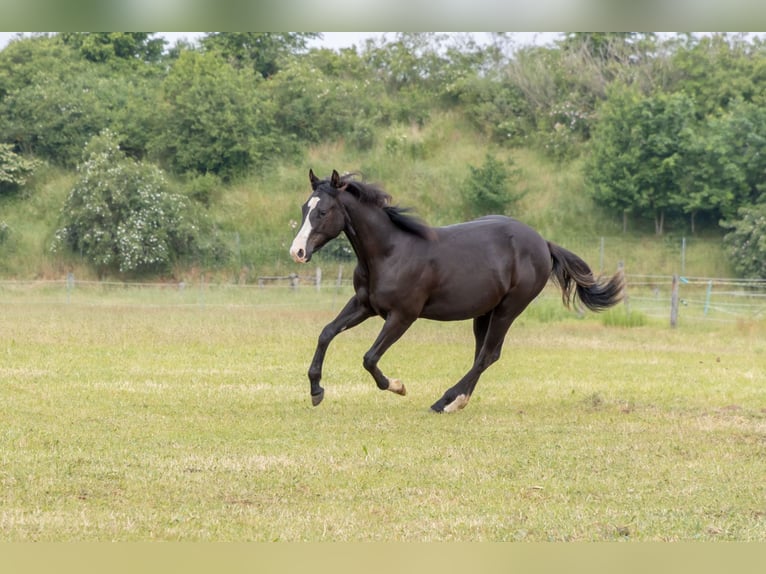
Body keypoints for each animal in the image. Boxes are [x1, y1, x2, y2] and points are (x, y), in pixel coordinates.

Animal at [288, 171, 624, 414]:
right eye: (305, 208)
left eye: (324, 211)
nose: (298, 252)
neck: (389, 252)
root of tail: (543, 243)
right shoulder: (364, 304)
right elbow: (326, 333)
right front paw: (316, 391)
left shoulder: (402, 316)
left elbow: (370, 358)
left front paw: (398, 386)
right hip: (485, 312)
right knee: (482, 355)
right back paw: (457, 401)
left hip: (509, 309)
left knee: (488, 355)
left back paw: (444, 401)